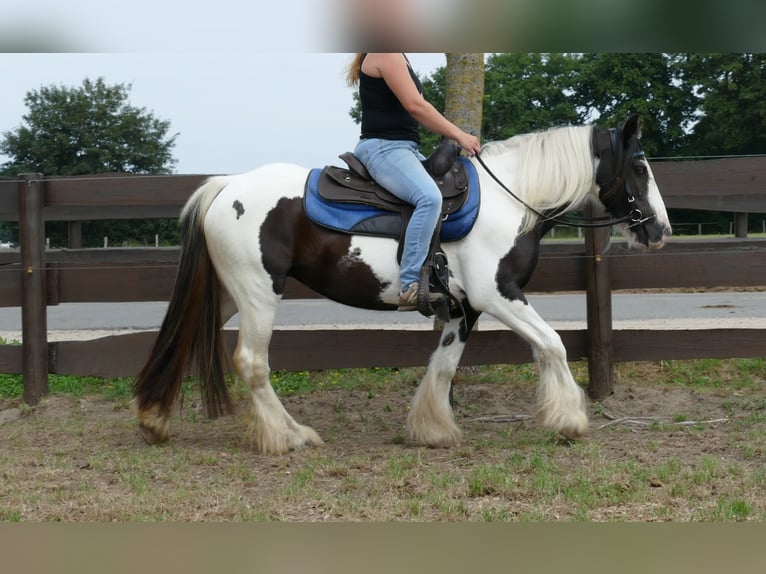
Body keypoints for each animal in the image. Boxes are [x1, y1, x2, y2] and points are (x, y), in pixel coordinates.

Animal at [136, 113, 672, 454]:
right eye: (639, 166)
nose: (661, 230)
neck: (510, 200)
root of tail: (226, 185)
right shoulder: (498, 295)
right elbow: (553, 345)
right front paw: (569, 421)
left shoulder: (465, 308)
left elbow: (443, 366)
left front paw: (432, 429)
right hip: (257, 293)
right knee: (252, 362)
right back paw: (289, 436)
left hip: (228, 294)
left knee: (185, 338)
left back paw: (155, 420)